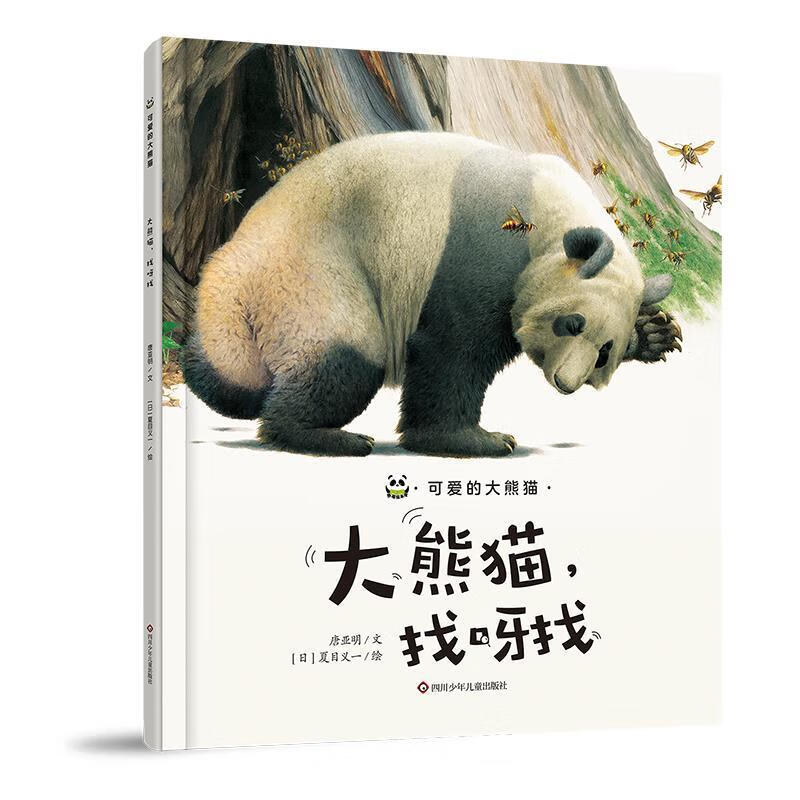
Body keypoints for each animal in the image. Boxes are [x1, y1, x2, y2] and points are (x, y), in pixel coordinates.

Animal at [183, 131, 678, 457]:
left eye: (604, 352)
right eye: (571, 323)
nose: (566, 384)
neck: (552, 217)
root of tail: (228, 266)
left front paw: (655, 333)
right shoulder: (479, 249)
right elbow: (452, 350)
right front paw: (476, 440)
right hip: (314, 272)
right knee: (346, 355)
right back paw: (323, 435)